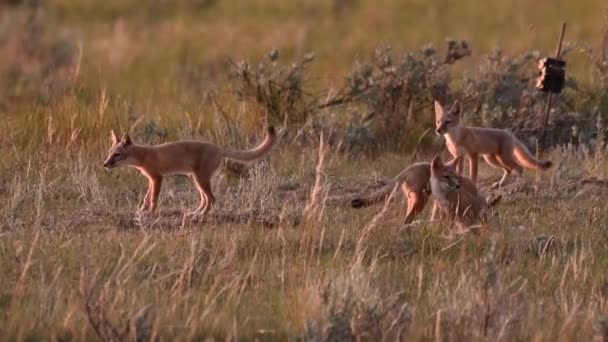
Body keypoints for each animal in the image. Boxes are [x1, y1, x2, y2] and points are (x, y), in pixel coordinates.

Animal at [104, 125, 276, 216]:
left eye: (116, 155)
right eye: (109, 153)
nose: (104, 164)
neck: (144, 155)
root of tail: (218, 148)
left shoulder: (157, 178)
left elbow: (153, 199)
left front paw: (151, 213)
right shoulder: (151, 179)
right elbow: (146, 198)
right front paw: (141, 211)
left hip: (200, 180)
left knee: (212, 199)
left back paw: (200, 216)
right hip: (197, 180)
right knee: (205, 199)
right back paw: (195, 213)